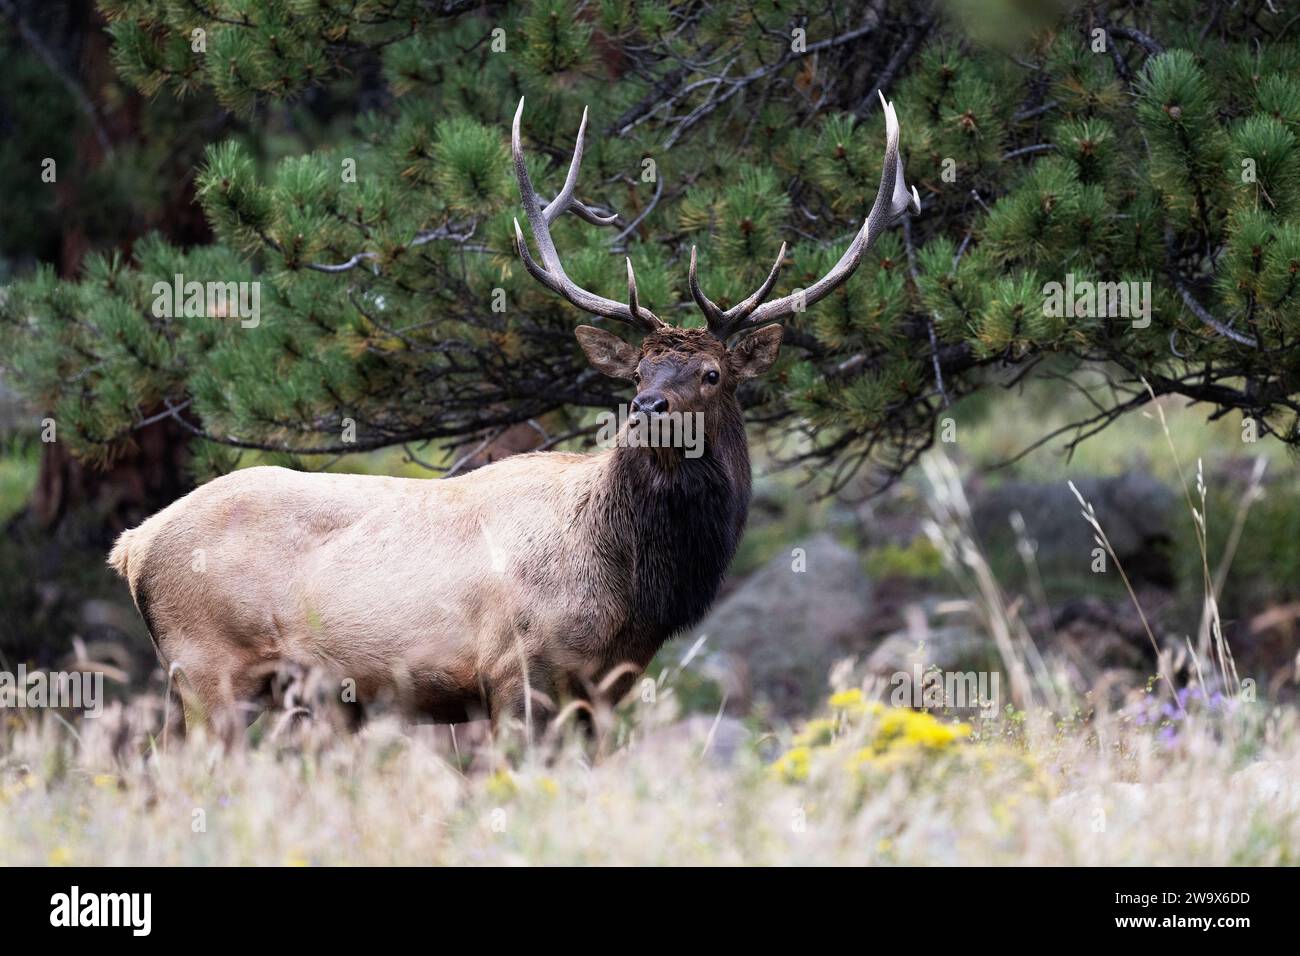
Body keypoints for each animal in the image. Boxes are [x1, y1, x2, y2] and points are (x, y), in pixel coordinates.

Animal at [108, 94, 919, 742]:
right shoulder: (516, 667)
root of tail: (134, 547)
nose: (647, 408)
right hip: (207, 668)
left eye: (712, 374)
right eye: (636, 371)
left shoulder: (607, 685)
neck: (630, 588)